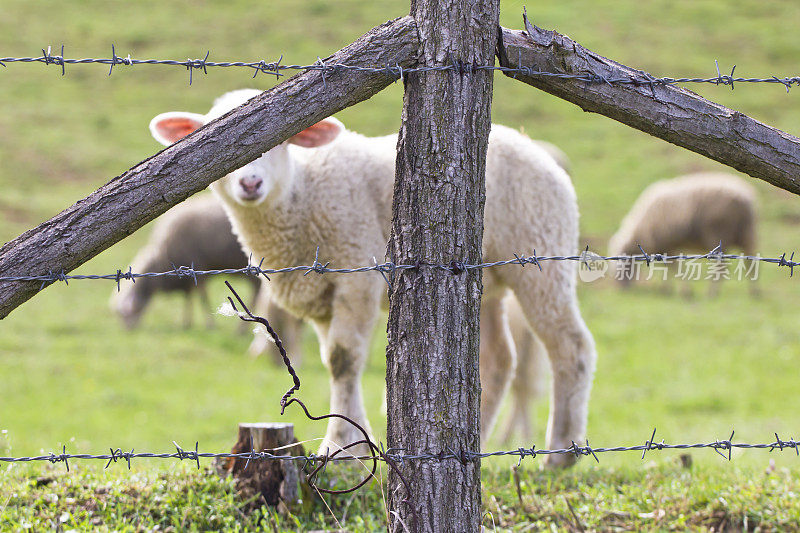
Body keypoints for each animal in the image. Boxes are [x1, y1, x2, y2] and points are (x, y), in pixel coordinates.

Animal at [150, 89, 596, 464]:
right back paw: (478, 444)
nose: (250, 182)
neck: (300, 196)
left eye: (281, 143)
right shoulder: (321, 296)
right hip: (485, 282)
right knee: (498, 359)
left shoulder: (355, 272)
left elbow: (343, 358)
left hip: (541, 257)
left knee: (570, 345)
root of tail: (537, 150)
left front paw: (340, 446)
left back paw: (562, 453)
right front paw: (353, 440)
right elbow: (333, 361)